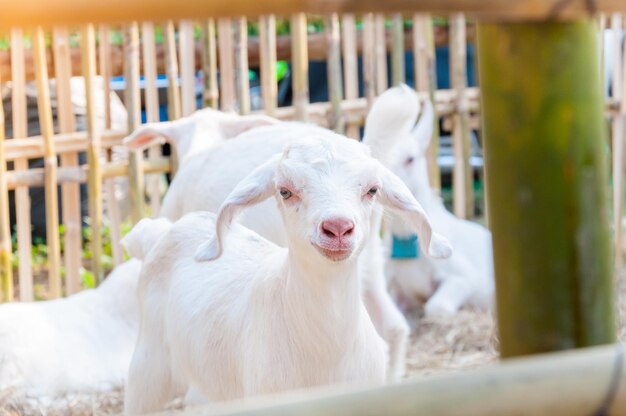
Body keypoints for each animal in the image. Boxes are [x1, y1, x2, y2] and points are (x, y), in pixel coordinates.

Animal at [120, 133, 448, 412]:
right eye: (285, 191)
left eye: (372, 190)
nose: (338, 228)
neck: (326, 350)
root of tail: (161, 232)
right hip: (147, 370)